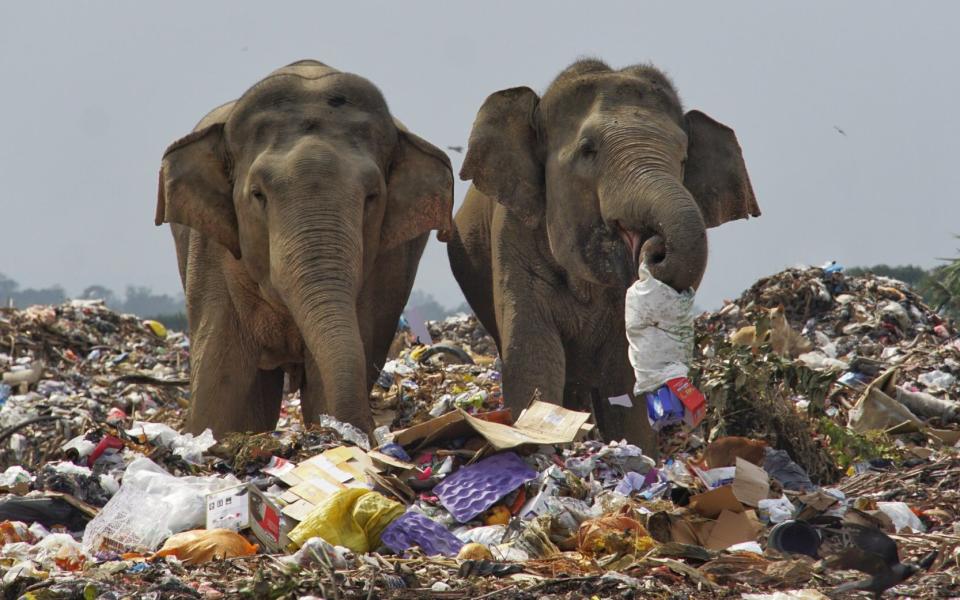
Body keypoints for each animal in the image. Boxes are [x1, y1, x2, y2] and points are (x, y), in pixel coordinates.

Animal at [156, 59, 456, 436]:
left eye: (372, 196)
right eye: (258, 194)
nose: (371, 431)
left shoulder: (385, 267)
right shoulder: (212, 254)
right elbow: (224, 393)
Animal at [448, 59, 756, 454]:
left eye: (684, 157)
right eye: (588, 150)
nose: (654, 249)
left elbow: (623, 376)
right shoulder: (513, 232)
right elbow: (532, 353)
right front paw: (541, 449)